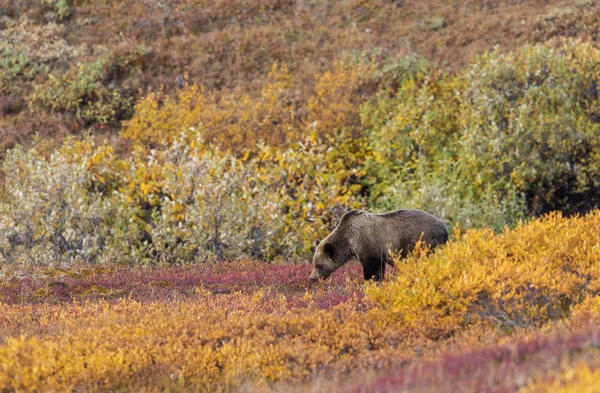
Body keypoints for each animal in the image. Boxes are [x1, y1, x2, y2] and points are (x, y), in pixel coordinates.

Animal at [312, 210, 448, 280]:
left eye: (318, 265)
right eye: (313, 263)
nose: (312, 278)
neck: (349, 241)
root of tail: (444, 227)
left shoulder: (368, 245)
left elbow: (372, 269)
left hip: (424, 242)